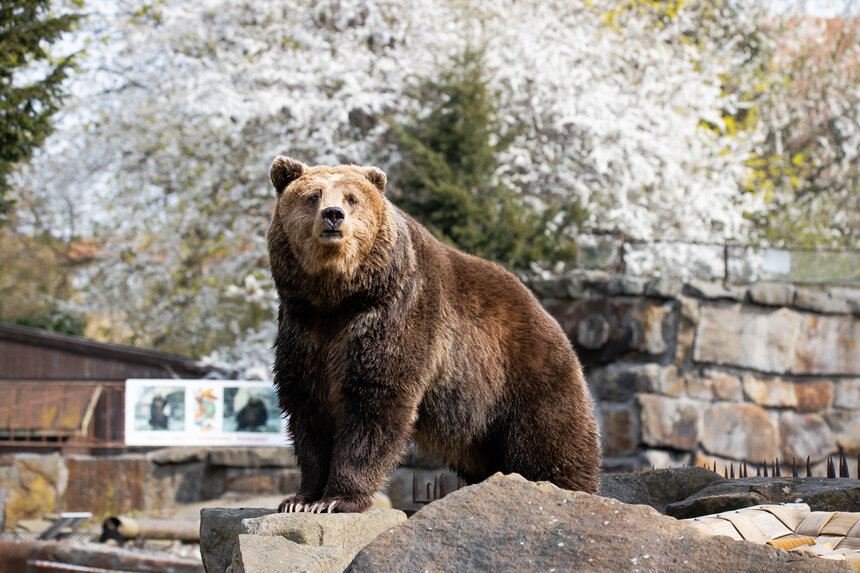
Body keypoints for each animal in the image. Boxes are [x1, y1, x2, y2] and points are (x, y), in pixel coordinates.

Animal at [268, 156, 596, 512]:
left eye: (352, 198)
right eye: (313, 195)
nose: (333, 215)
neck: (340, 297)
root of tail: (549, 317)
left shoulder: (397, 315)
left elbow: (375, 403)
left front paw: (337, 499)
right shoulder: (304, 331)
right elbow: (307, 409)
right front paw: (301, 499)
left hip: (523, 377)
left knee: (549, 444)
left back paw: (566, 490)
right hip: (478, 426)